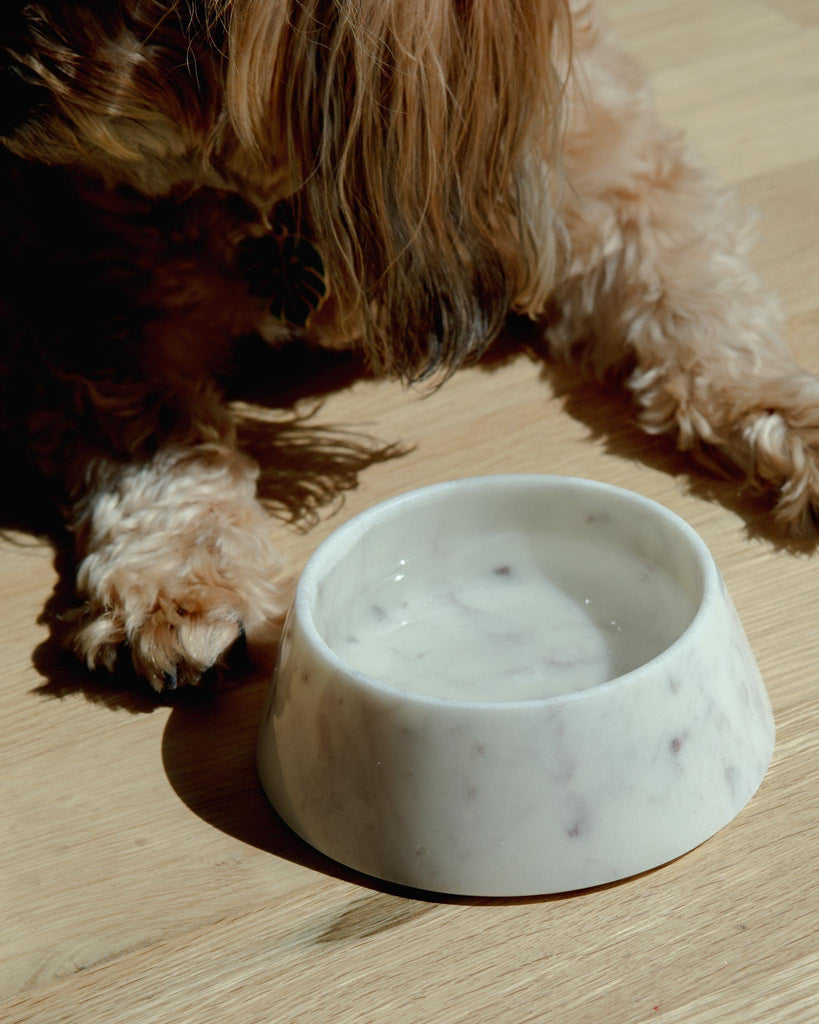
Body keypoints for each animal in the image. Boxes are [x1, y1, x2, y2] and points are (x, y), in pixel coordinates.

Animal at [3, 0, 814, 692]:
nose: (12, 66)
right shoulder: (101, 292)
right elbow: (159, 442)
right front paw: (176, 576)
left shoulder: (602, 168)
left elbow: (698, 297)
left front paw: (791, 416)